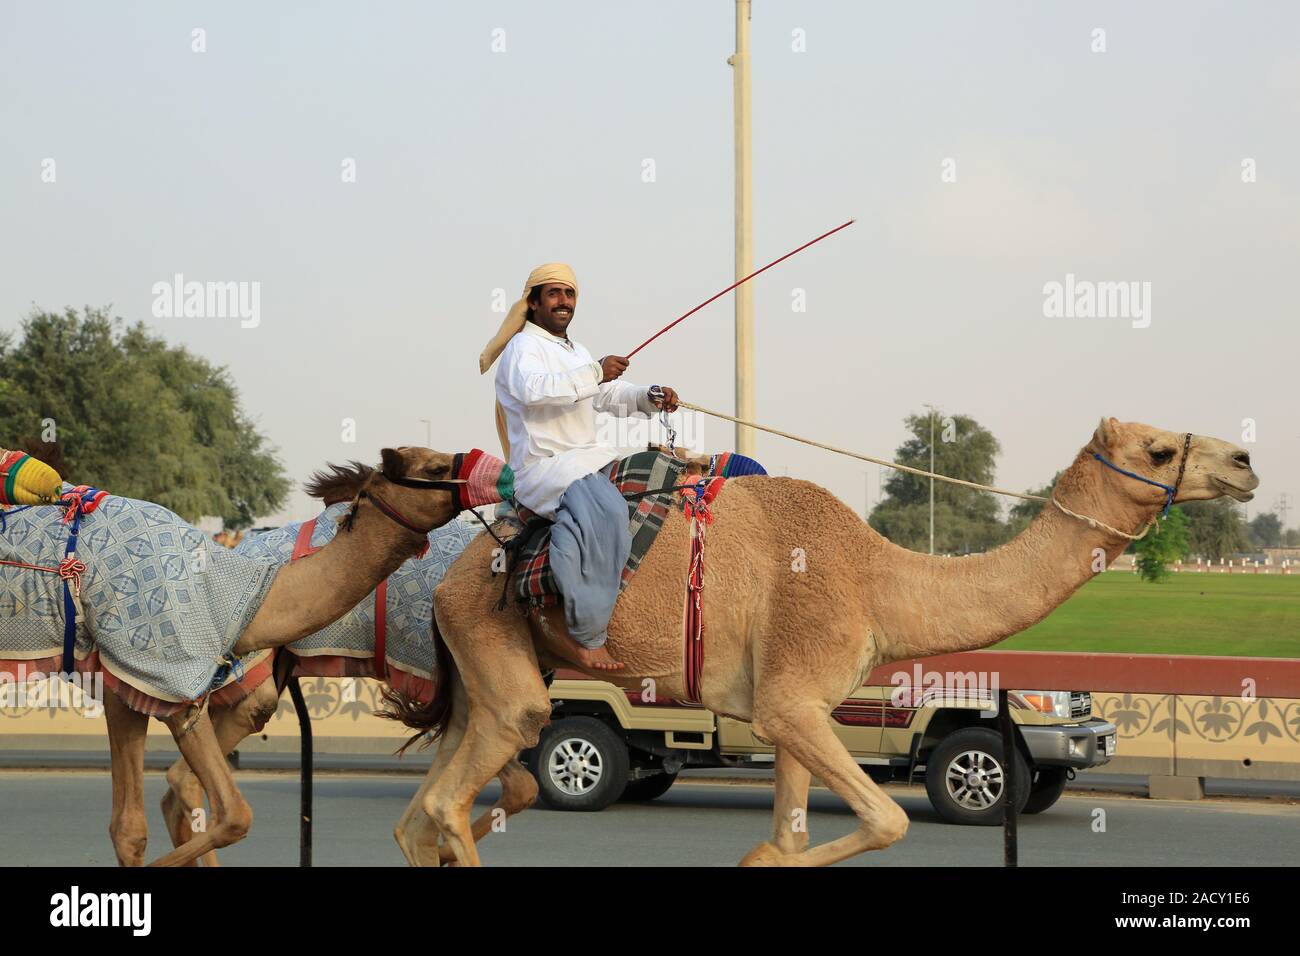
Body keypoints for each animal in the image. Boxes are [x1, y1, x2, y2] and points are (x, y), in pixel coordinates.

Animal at [387, 418, 1258, 868]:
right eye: (1157, 449)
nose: (1245, 460)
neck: (878, 580)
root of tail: (450, 570)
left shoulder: (790, 705)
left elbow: (783, 841)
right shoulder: (793, 698)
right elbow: (888, 822)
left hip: (483, 663)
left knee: (422, 812)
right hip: (497, 639)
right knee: (463, 788)